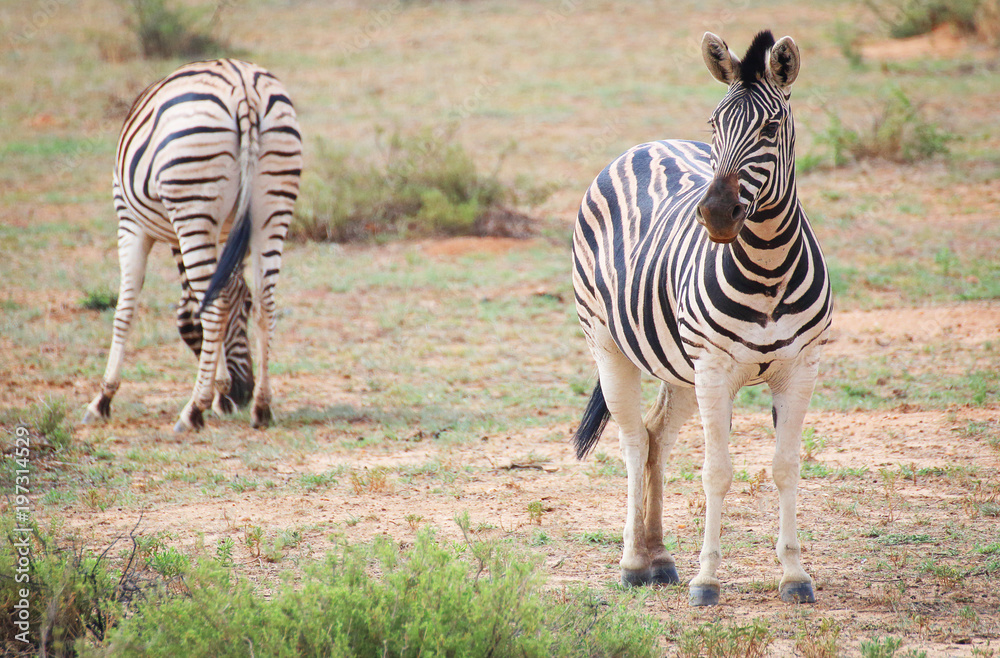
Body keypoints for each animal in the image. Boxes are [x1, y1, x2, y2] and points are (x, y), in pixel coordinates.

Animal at [83, 59, 302, 432]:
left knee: (212, 308)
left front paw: (103, 398)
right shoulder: (222, 233)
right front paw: (223, 394)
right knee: (267, 304)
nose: (243, 392)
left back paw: (192, 412)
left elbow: (126, 309)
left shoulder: (130, 223)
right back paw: (263, 407)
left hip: (193, 202)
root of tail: (243, 87)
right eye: (243, 308)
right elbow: (221, 293)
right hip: (272, 207)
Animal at [571, 30, 832, 606]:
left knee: (654, 436)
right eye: (714, 124)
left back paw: (659, 557)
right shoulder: (715, 370)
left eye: (770, 128)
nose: (715, 213)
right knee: (631, 440)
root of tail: (644, 145)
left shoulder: (800, 369)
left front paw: (794, 574)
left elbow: (786, 468)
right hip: (608, 344)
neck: (768, 267)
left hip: (679, 367)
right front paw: (706, 579)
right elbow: (717, 472)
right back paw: (633, 563)